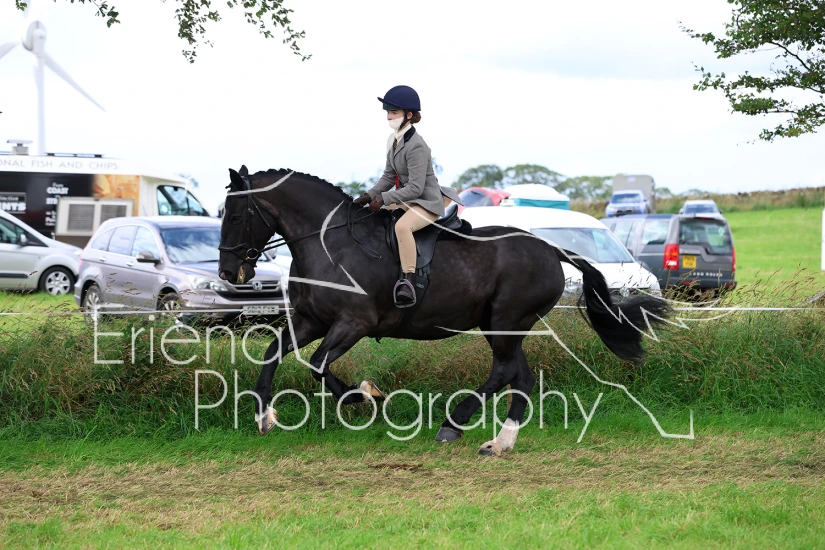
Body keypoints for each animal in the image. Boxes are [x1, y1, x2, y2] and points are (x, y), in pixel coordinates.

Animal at [217, 166, 671, 456]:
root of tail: (550, 247)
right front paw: (264, 416)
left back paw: (456, 424)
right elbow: (272, 354)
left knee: (505, 372)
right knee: (518, 376)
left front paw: (365, 396)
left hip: (505, 323)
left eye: (236, 214)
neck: (330, 244)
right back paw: (499, 442)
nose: (228, 272)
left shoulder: (353, 323)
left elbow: (317, 365)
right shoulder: (312, 320)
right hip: (501, 326)